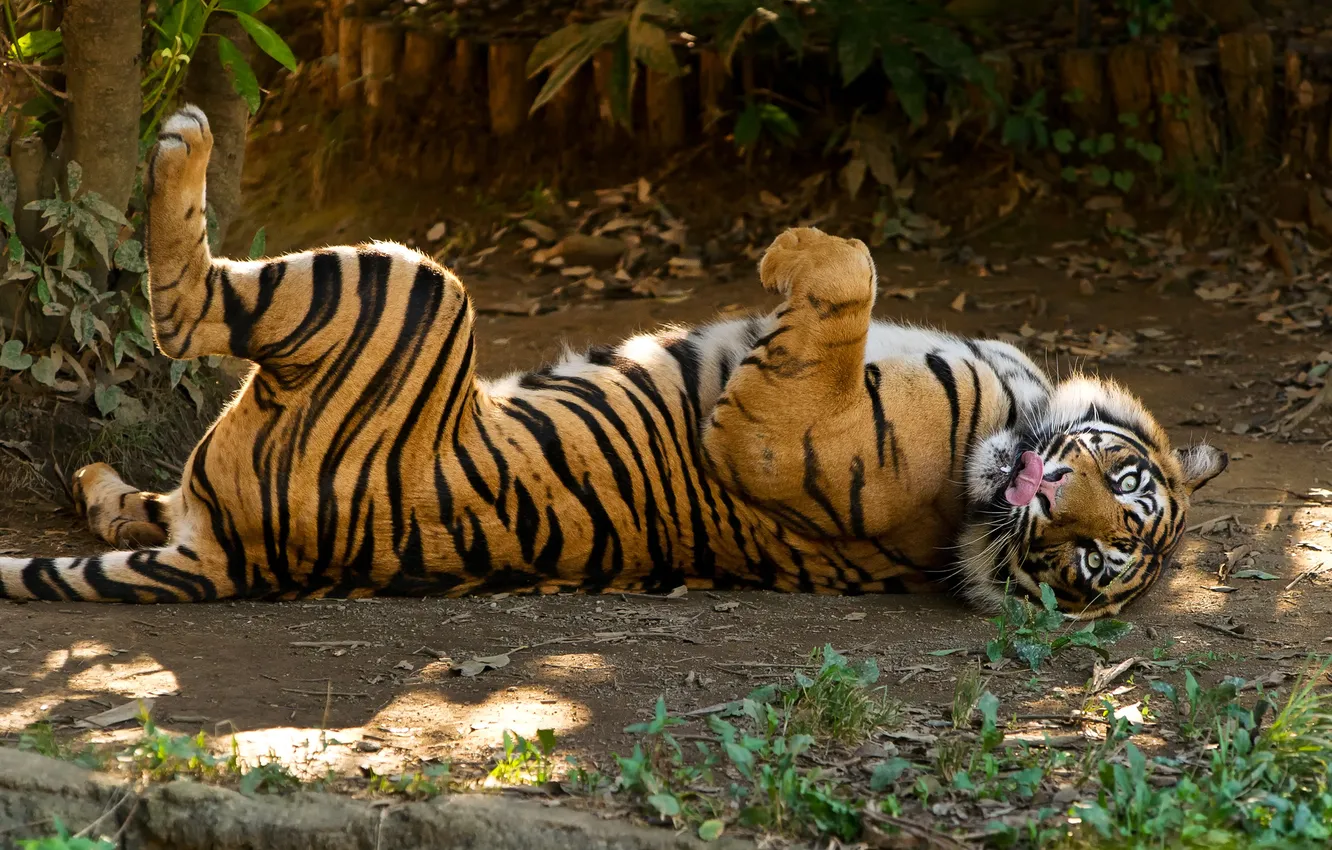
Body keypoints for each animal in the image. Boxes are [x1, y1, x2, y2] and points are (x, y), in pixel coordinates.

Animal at [0, 105, 1227, 619]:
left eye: (1087, 561)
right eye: (1116, 488)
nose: (1046, 496)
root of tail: (243, 560)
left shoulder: (778, 431)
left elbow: (850, 280)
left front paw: (788, 252)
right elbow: (857, 276)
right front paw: (785, 256)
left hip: (410, 286)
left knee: (184, 306)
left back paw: (184, 140)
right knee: (143, 490)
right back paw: (98, 480)